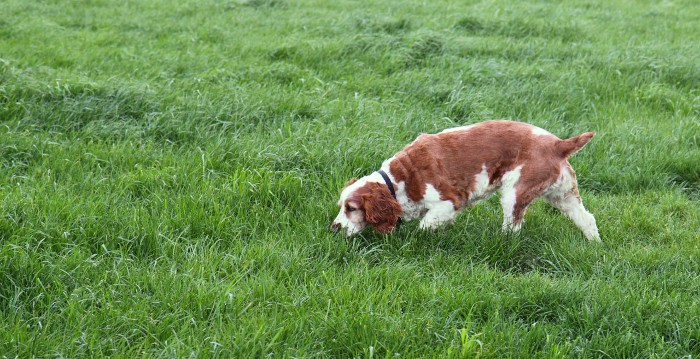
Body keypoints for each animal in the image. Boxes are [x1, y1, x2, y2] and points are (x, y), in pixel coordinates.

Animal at [330, 121, 600, 242]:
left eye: (351, 208)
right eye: (341, 207)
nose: (334, 228)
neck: (399, 180)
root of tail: (558, 144)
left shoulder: (448, 201)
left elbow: (425, 224)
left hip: (515, 193)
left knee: (513, 226)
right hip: (563, 194)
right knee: (587, 218)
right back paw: (593, 244)